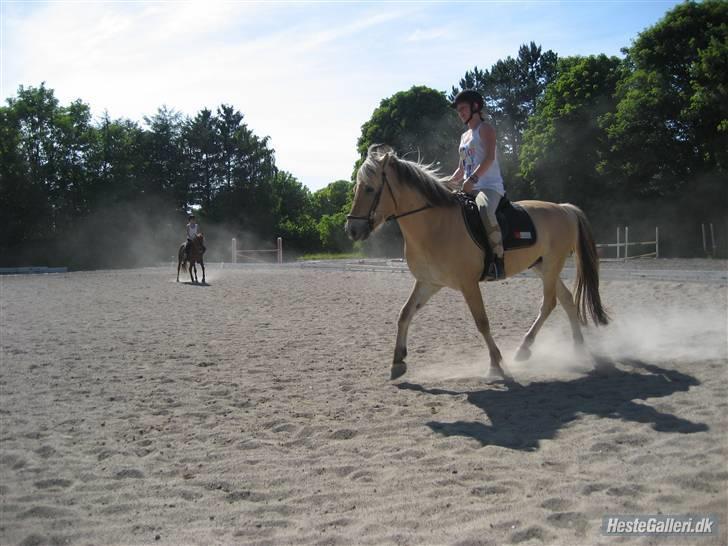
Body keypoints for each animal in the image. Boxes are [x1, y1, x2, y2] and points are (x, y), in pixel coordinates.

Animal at [346, 147, 608, 380]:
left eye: (369, 188)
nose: (352, 229)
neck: (435, 224)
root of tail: (564, 209)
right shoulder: (429, 282)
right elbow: (404, 313)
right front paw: (397, 361)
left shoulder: (468, 283)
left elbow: (481, 322)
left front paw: (496, 364)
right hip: (542, 266)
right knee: (567, 300)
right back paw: (577, 348)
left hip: (552, 264)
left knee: (549, 303)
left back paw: (525, 349)